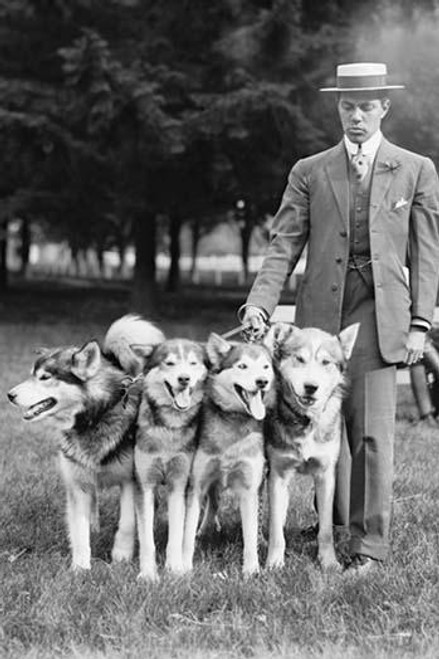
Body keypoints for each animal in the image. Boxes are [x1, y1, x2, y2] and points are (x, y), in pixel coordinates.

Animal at [6, 316, 165, 572]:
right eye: (31, 375)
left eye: (45, 377)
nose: (10, 395)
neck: (95, 418)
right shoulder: (78, 483)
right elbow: (79, 530)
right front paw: (80, 568)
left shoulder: (131, 481)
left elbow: (128, 523)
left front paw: (121, 557)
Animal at [134, 338, 208, 580]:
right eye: (169, 363)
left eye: (193, 363)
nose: (184, 379)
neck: (169, 428)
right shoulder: (145, 485)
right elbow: (147, 540)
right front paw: (148, 574)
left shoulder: (178, 484)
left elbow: (176, 535)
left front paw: (175, 569)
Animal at [182, 336, 276, 576]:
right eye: (242, 366)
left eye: (266, 367)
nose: (262, 381)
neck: (233, 420)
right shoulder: (197, 484)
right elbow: (186, 533)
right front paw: (183, 567)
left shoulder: (249, 489)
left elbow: (250, 535)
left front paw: (251, 570)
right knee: (213, 502)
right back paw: (205, 529)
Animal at [262, 324, 360, 572]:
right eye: (299, 359)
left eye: (326, 362)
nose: (311, 387)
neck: (305, 421)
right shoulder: (277, 475)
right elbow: (276, 529)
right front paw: (274, 563)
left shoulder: (325, 476)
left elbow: (325, 530)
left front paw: (329, 562)